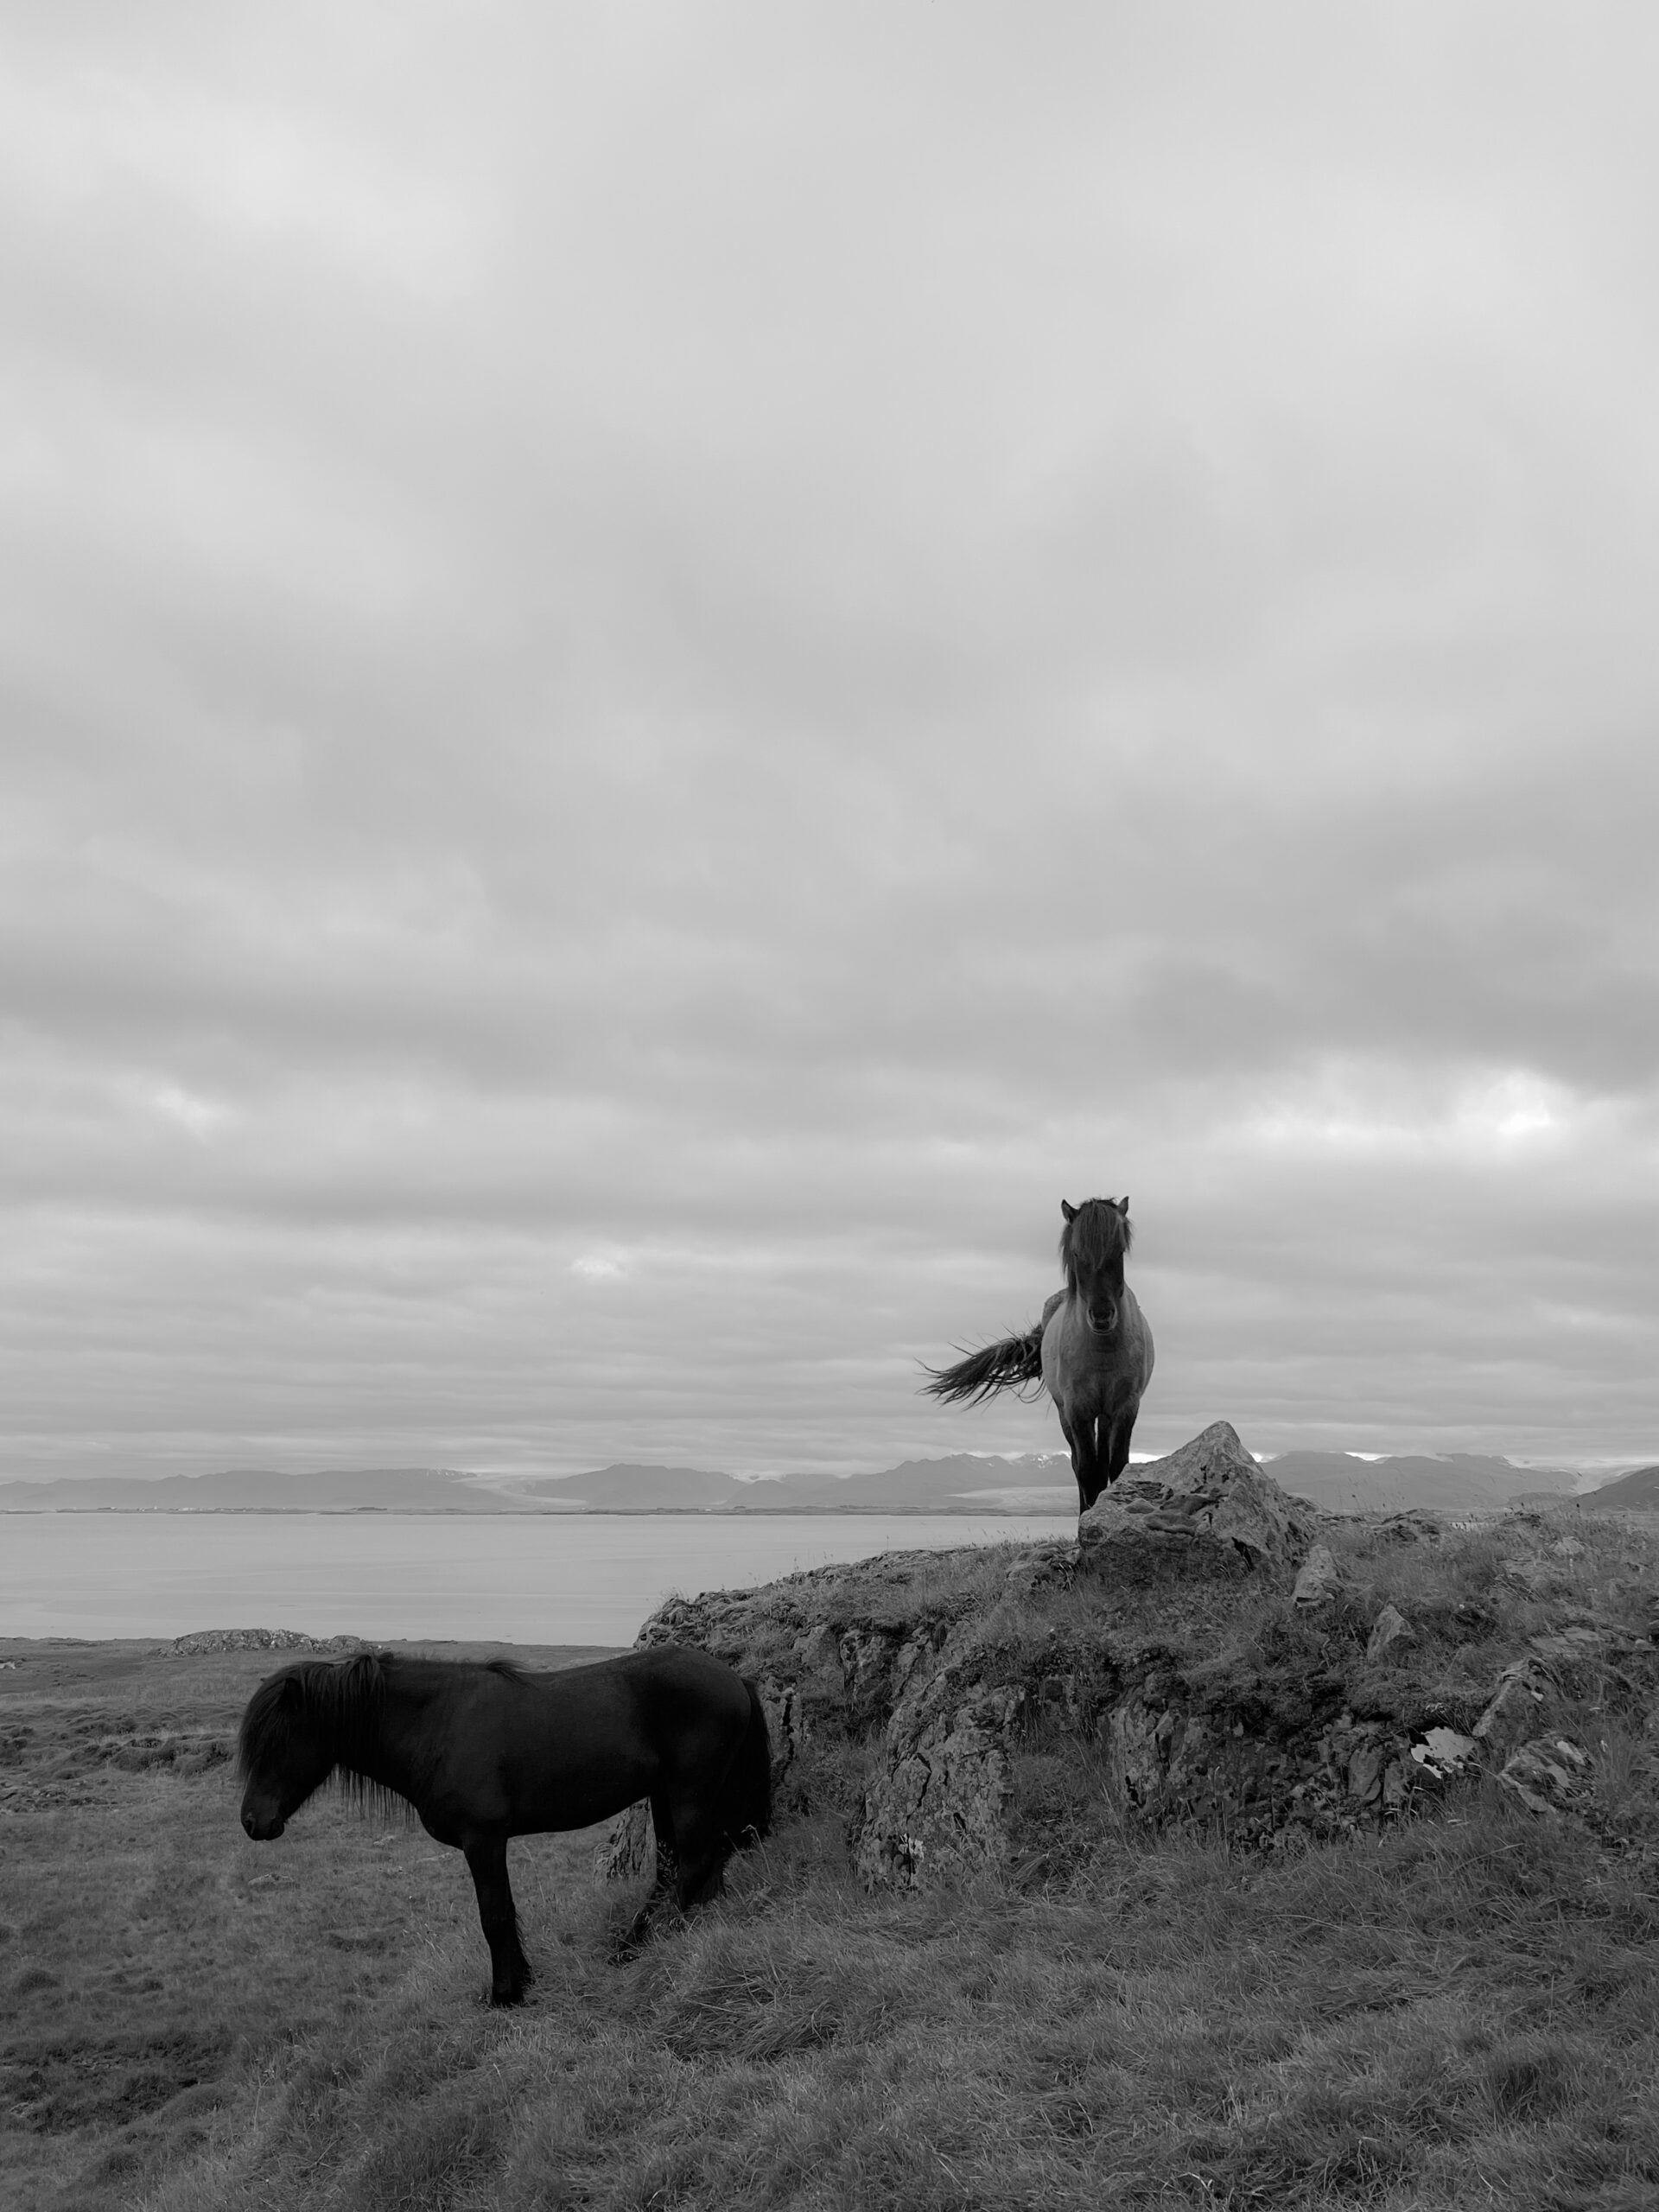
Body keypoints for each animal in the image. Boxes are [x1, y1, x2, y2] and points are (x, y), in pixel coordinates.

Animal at [239, 1645, 774, 2008]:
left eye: (277, 1741)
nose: (252, 1822)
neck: (438, 1724)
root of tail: (732, 1676)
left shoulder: (483, 1841)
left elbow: (494, 1917)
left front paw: (506, 1995)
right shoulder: (488, 1844)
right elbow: (505, 1912)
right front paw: (522, 1982)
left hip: (688, 1792)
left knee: (694, 1864)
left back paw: (657, 1942)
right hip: (665, 1796)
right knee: (683, 1868)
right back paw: (650, 1941)